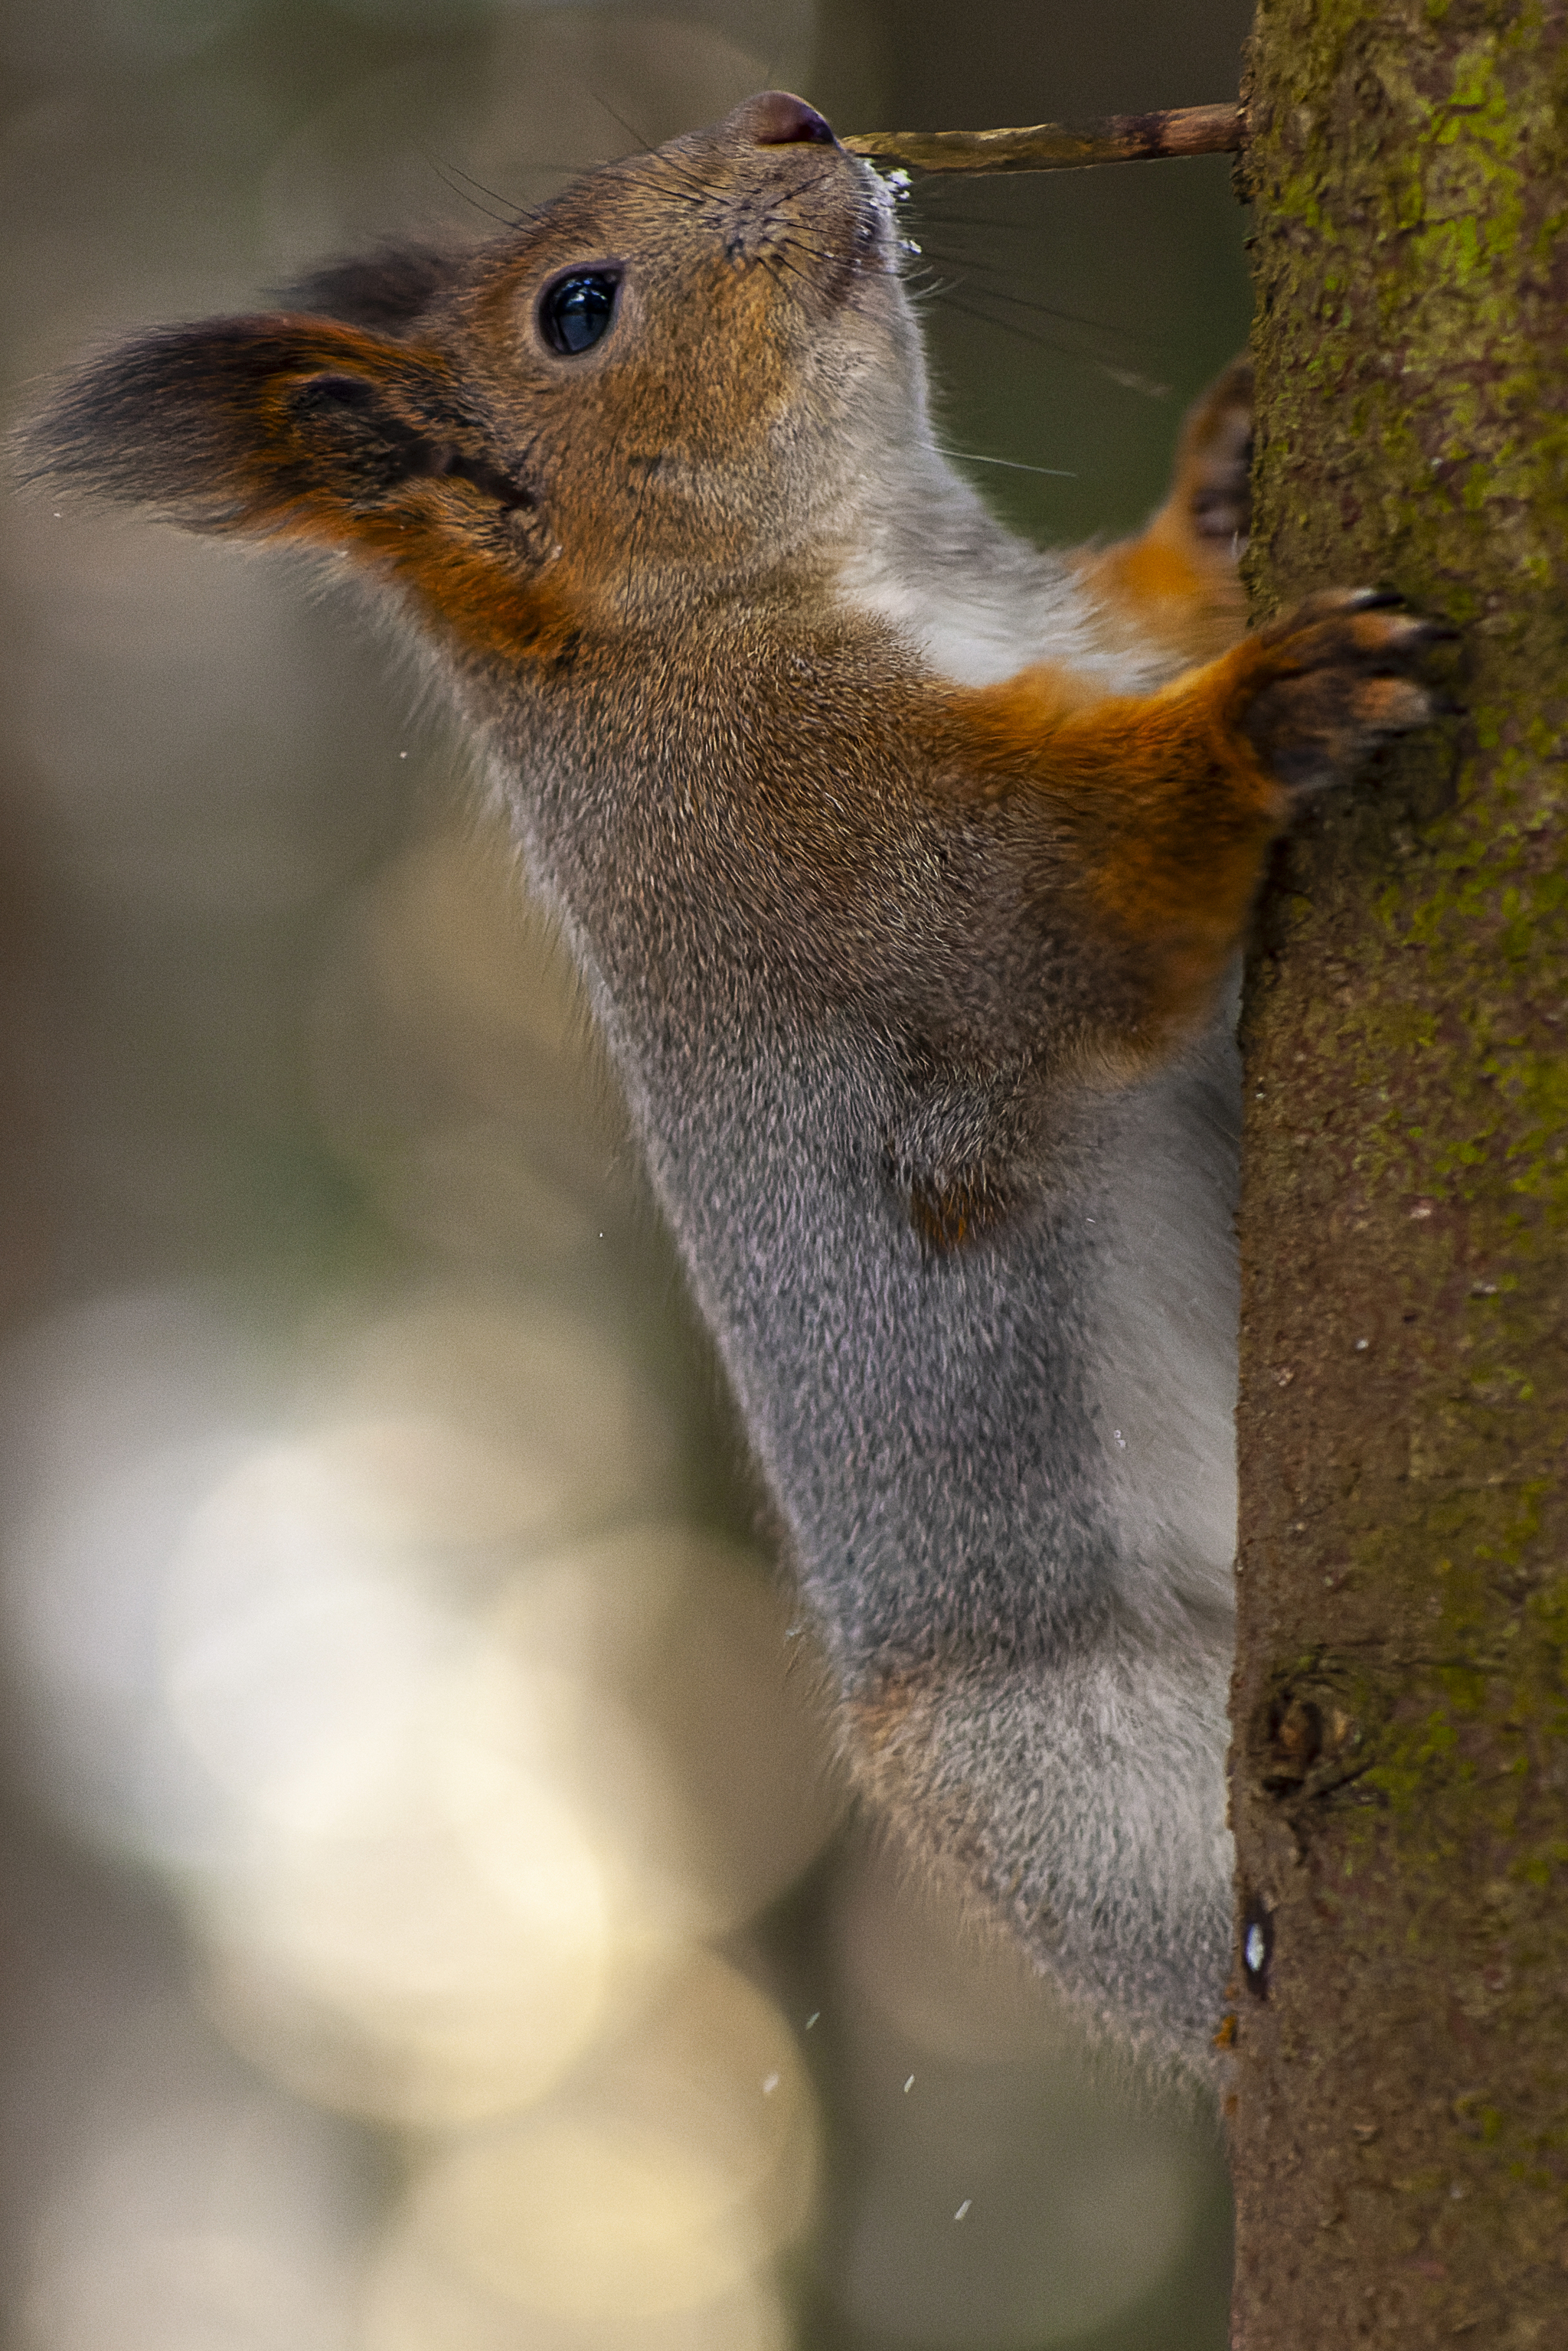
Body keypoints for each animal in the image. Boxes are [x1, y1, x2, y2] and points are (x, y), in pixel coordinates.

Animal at [21, 87, 1448, 2078]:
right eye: (578, 310)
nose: (790, 113)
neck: (834, 577)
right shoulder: (829, 861)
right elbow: (1054, 913)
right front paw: (1265, 714)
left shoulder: (1085, 642)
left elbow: (1161, 600)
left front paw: (1223, 479)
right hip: (1069, 1776)